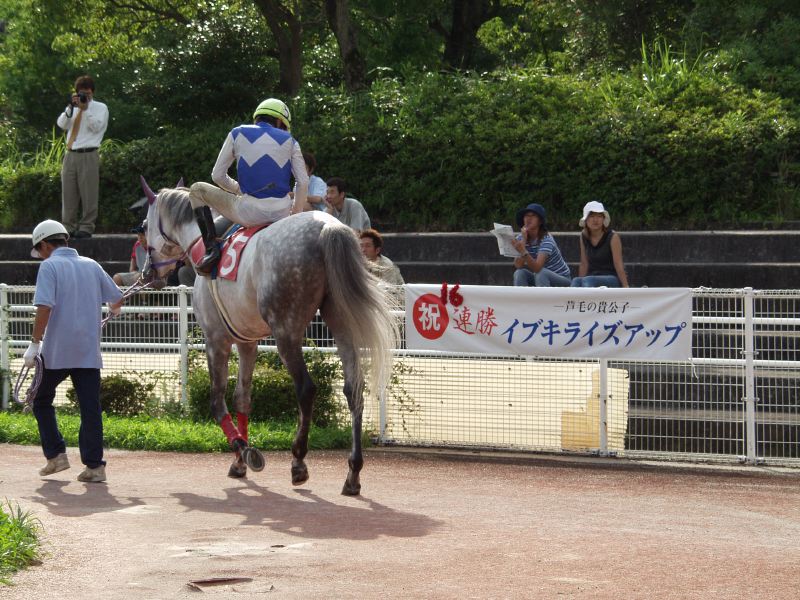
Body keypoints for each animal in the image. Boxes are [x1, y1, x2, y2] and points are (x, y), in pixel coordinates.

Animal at [140, 179, 398, 495]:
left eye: (144, 226)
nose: (148, 272)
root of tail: (327, 227)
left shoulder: (216, 340)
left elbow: (217, 401)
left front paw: (245, 452)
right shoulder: (247, 342)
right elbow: (242, 398)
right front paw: (239, 461)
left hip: (286, 331)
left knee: (306, 389)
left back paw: (298, 461)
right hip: (340, 320)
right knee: (353, 390)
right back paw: (353, 473)